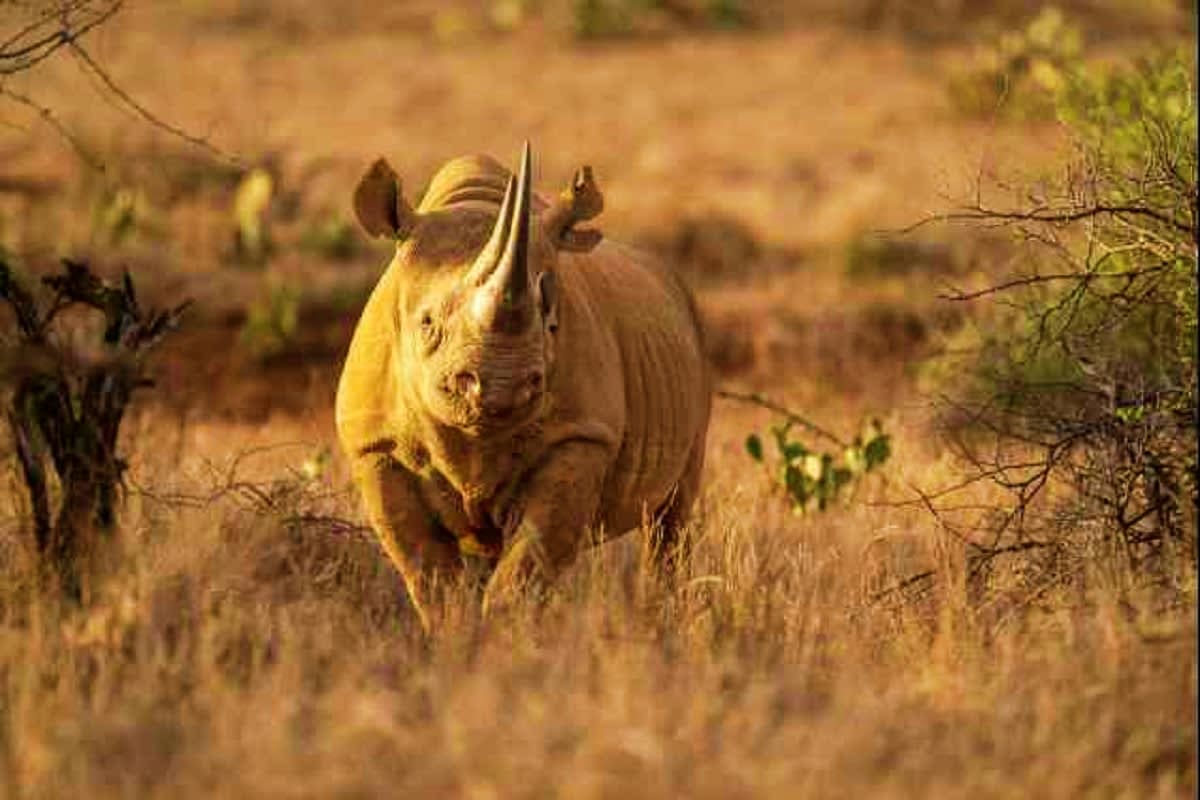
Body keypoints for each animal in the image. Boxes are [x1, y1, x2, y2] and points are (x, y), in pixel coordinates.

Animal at [336, 143, 711, 630]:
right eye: (427, 324)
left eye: (552, 325)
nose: (501, 385)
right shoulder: (376, 446)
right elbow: (429, 573)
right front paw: (455, 638)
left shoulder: (581, 436)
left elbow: (528, 564)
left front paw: (506, 640)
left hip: (694, 340)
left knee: (671, 516)